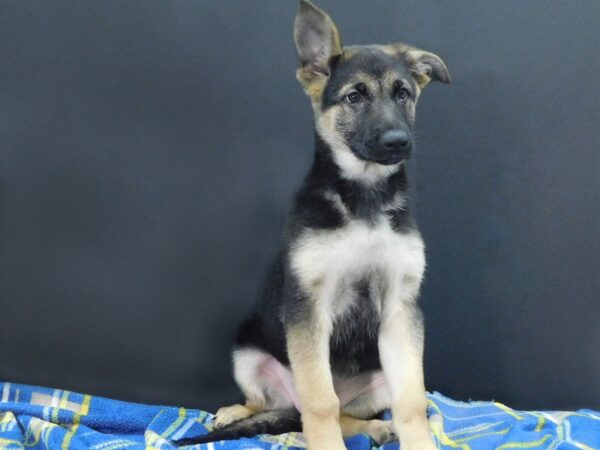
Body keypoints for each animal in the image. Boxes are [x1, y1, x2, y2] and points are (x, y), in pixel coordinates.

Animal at [176, 0, 448, 450]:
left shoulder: (401, 310)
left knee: (336, 413)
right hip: (247, 353)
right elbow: (319, 402)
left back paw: (376, 427)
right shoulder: (309, 309)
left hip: (376, 377)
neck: (363, 197)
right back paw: (236, 411)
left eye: (403, 94)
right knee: (287, 407)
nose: (398, 142)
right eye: (355, 96)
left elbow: (411, 401)